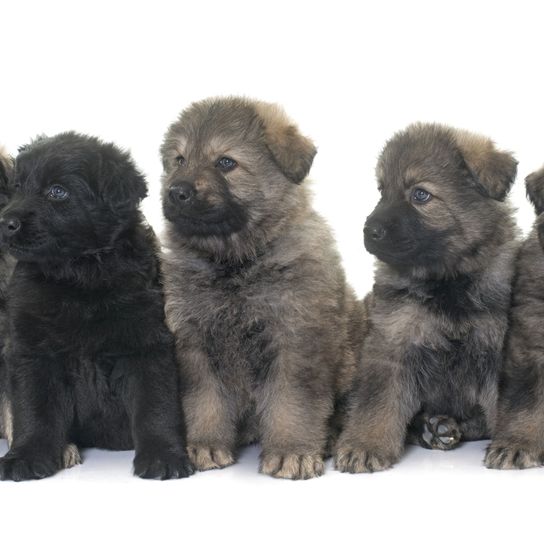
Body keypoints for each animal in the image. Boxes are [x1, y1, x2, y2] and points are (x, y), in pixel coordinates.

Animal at [0, 132, 193, 480]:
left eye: (57, 191)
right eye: (17, 187)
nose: (5, 222)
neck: (80, 277)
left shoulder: (146, 346)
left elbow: (155, 407)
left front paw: (163, 457)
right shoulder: (32, 351)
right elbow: (32, 410)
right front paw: (26, 456)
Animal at [160, 98, 366, 480]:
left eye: (226, 162)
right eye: (179, 159)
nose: (175, 192)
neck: (235, 262)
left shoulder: (295, 338)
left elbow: (291, 402)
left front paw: (291, 453)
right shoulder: (193, 343)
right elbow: (203, 400)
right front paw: (205, 445)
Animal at [336, 123, 520, 472]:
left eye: (420, 195)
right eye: (382, 191)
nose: (369, 231)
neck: (447, 280)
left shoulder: (496, 349)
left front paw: (512, 443)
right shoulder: (391, 345)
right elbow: (376, 403)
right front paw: (365, 445)